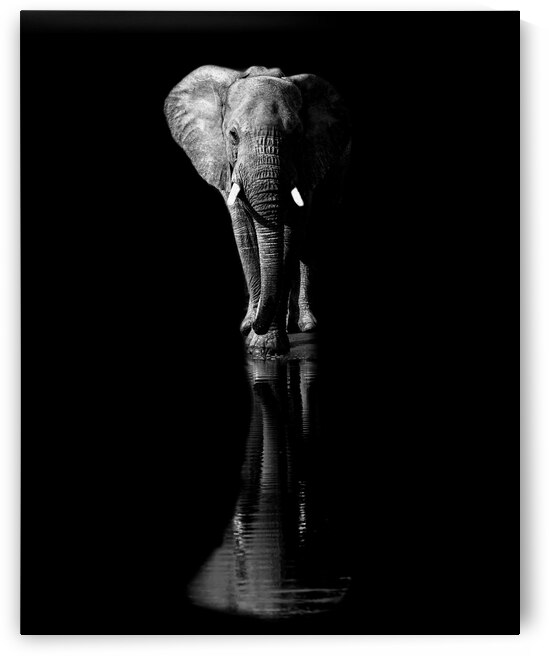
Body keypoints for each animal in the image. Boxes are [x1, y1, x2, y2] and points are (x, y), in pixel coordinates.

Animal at [164, 65, 351, 357]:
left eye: (296, 135)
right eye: (233, 135)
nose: (253, 326)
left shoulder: (307, 159)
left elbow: (290, 235)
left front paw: (265, 346)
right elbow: (246, 236)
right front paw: (251, 330)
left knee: (310, 243)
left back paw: (305, 324)